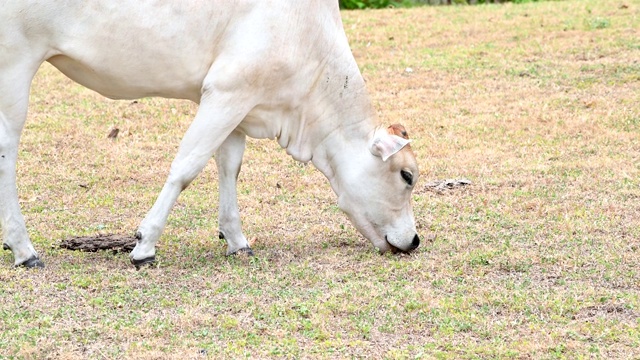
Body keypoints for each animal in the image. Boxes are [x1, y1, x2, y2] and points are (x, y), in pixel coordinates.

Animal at [0, 0, 420, 268]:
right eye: (407, 176)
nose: (414, 240)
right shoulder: (227, 91)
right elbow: (187, 166)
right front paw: (145, 245)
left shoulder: (241, 103)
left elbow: (228, 166)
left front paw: (237, 241)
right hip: (14, 64)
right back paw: (24, 250)